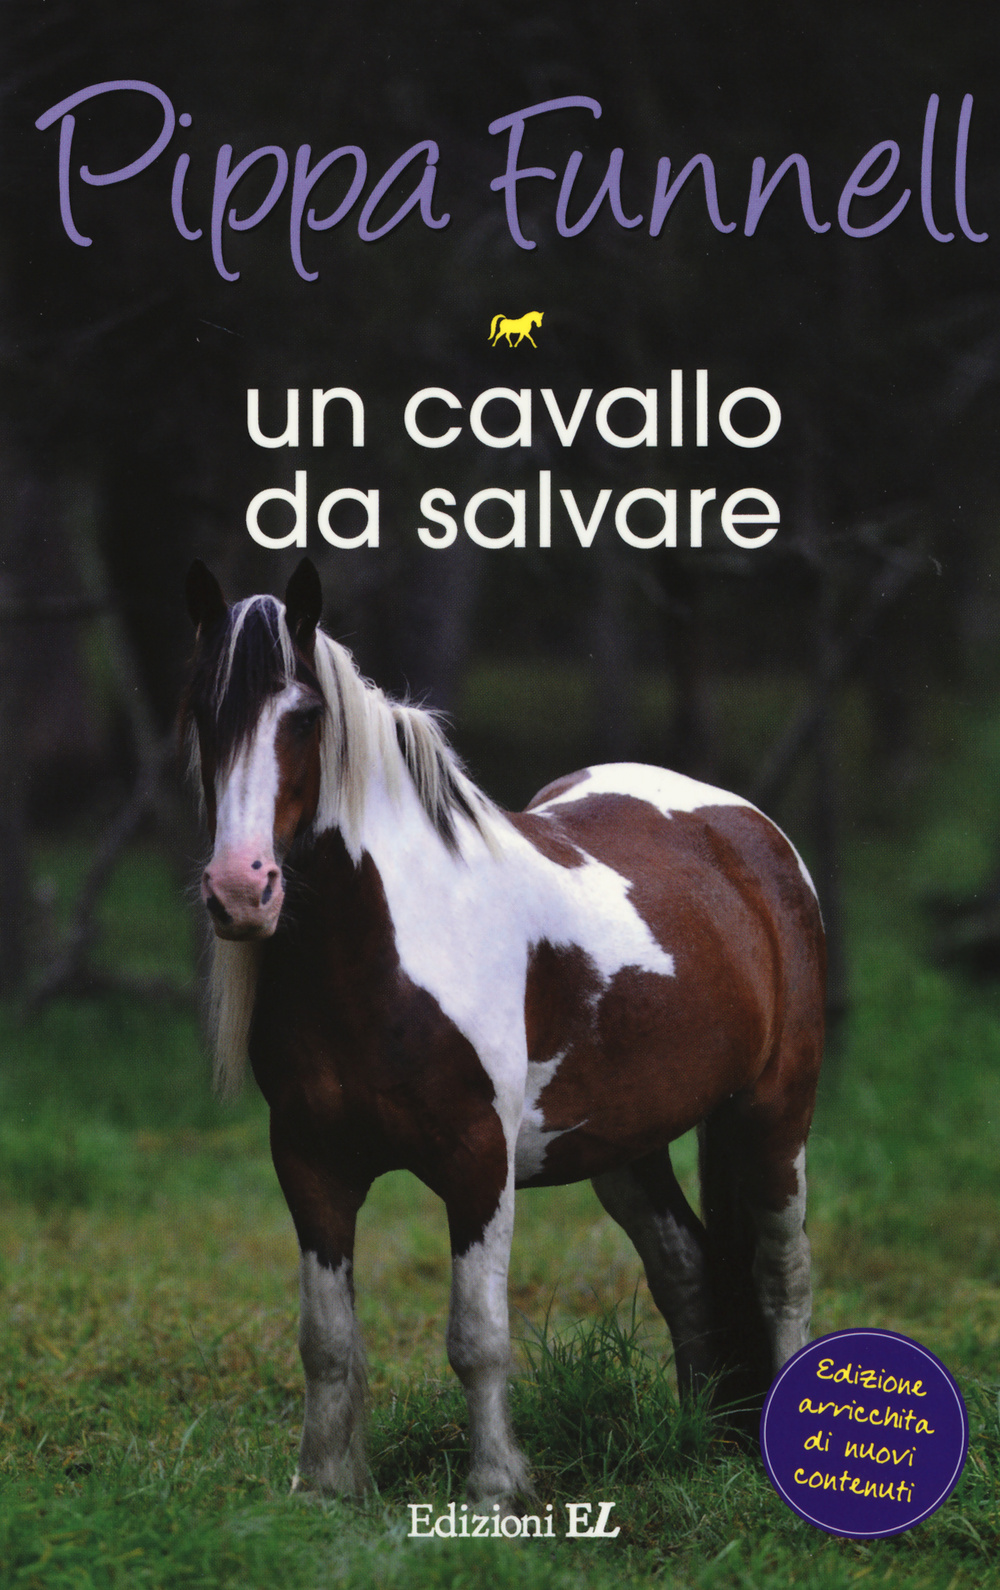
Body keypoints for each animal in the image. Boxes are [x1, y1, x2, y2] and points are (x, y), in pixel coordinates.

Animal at [182, 557, 825, 1509]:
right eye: (201, 712)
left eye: (302, 714)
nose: (240, 889)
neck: (384, 953)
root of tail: (743, 827)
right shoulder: (309, 1161)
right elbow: (326, 1340)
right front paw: (326, 1486)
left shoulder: (477, 1162)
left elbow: (477, 1335)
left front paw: (495, 1486)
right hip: (623, 1145)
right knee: (688, 1271)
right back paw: (697, 1442)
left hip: (772, 1116)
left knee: (781, 1275)